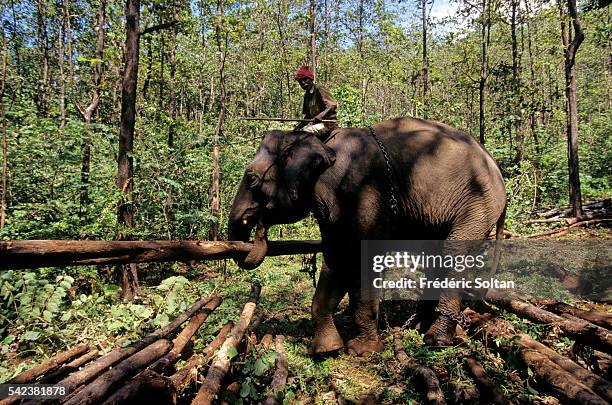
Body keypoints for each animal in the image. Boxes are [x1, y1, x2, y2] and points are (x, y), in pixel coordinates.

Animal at [228, 116, 506, 354]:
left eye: (252, 179)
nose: (260, 226)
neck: (320, 143)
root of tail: (496, 168)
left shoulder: (363, 193)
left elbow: (362, 259)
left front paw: (362, 351)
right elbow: (337, 258)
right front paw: (327, 350)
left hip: (476, 206)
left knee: (452, 254)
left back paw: (435, 339)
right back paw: (420, 326)